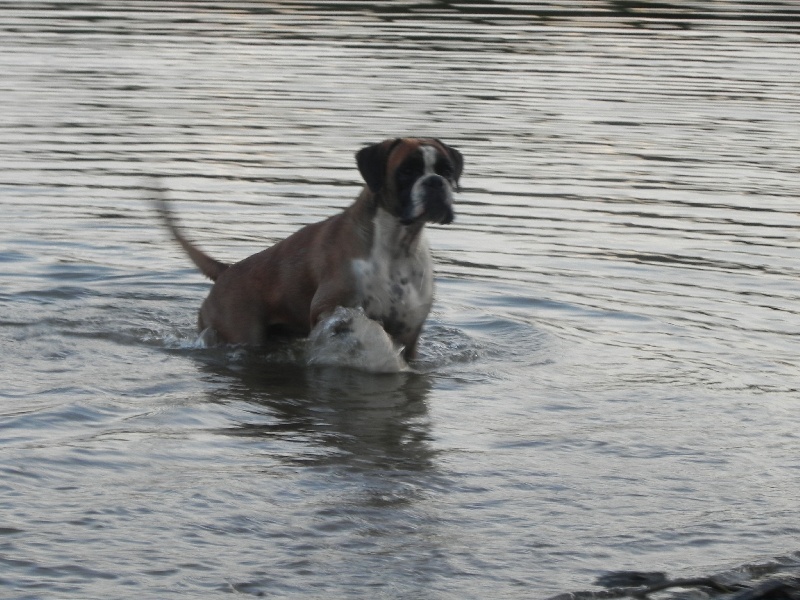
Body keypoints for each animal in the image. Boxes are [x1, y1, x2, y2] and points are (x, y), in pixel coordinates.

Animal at [155, 137, 462, 360]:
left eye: (447, 170)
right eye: (407, 171)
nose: (435, 182)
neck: (398, 246)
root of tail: (227, 270)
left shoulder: (409, 333)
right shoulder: (329, 309)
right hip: (239, 335)